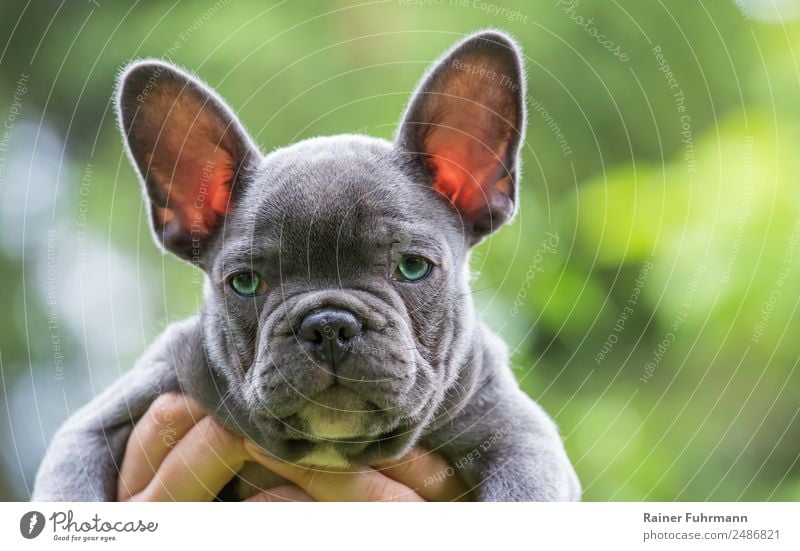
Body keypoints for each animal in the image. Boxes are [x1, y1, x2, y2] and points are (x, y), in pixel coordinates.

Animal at [34, 31, 580, 504]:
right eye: (245, 283)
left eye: (412, 268)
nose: (329, 324)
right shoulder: (105, 418)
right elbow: (72, 483)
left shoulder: (519, 437)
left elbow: (522, 492)